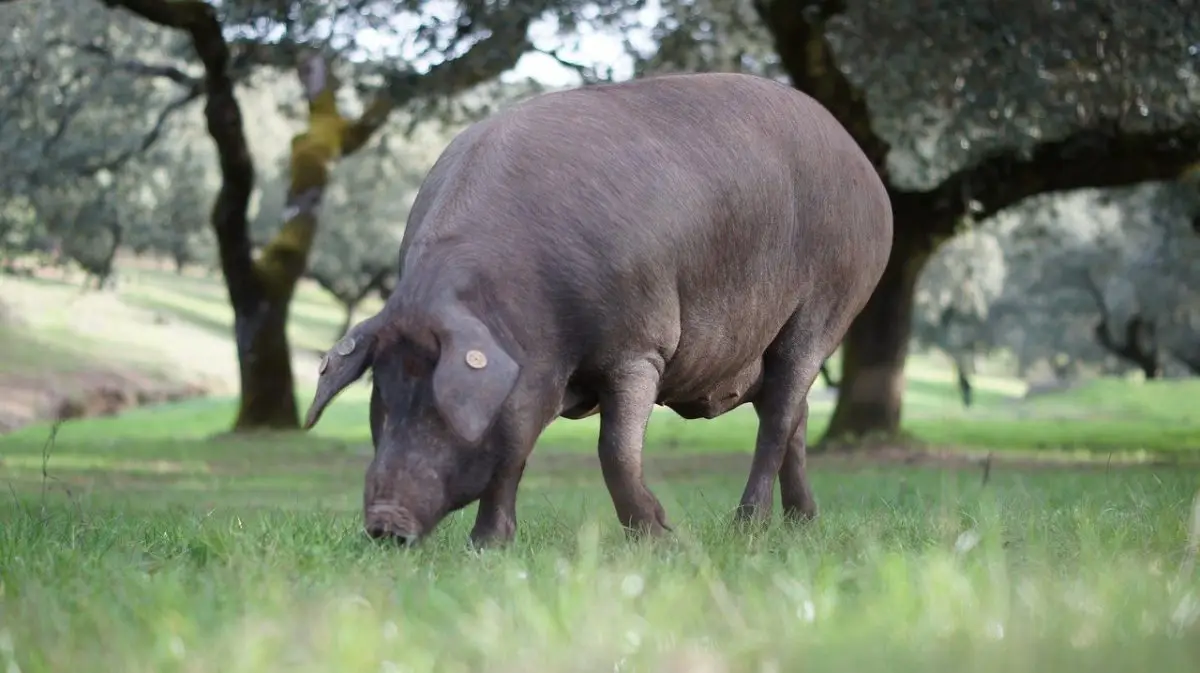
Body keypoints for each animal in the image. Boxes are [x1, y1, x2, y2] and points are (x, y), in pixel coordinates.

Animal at [302, 71, 893, 547]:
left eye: (440, 404)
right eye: (382, 396)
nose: (384, 524)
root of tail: (867, 170)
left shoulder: (640, 346)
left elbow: (614, 450)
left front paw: (659, 538)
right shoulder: (537, 378)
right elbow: (513, 449)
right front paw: (487, 548)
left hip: (827, 306)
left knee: (779, 417)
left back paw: (745, 528)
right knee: (797, 416)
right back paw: (803, 524)